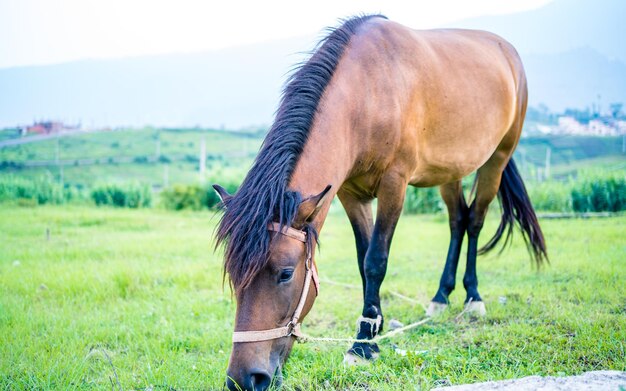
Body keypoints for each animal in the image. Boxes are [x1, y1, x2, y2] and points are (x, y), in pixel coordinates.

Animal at [212, 14, 544, 391]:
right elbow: (362, 259)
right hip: (450, 170)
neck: (368, 92)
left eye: (285, 274)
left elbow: (376, 260)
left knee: (474, 220)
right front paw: (374, 324)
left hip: (497, 160)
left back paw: (473, 297)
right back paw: (440, 297)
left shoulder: (394, 185)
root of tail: (507, 52)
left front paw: (362, 345)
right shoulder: (349, 193)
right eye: (233, 275)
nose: (244, 379)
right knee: (457, 220)